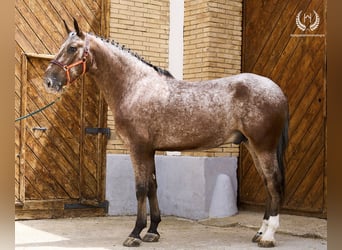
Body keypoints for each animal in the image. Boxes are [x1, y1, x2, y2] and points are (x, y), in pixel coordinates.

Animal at [42, 19, 288, 248]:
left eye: (72, 48)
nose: (49, 81)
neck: (135, 87)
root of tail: (277, 90)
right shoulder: (150, 150)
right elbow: (152, 187)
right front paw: (152, 231)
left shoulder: (138, 148)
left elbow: (140, 189)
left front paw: (135, 233)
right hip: (252, 146)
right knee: (267, 184)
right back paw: (260, 232)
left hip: (263, 147)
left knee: (273, 183)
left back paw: (268, 236)